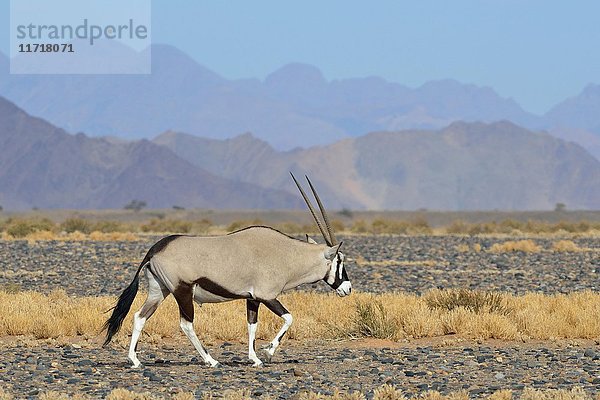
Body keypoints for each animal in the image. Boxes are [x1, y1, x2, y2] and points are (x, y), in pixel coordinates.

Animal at [103, 173, 352, 368]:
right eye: (340, 260)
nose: (348, 289)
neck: (287, 254)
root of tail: (155, 249)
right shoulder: (267, 296)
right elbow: (289, 318)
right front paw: (268, 351)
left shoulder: (252, 298)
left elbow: (252, 326)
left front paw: (255, 359)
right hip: (182, 292)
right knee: (186, 324)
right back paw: (211, 360)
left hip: (159, 291)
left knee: (139, 316)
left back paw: (135, 360)